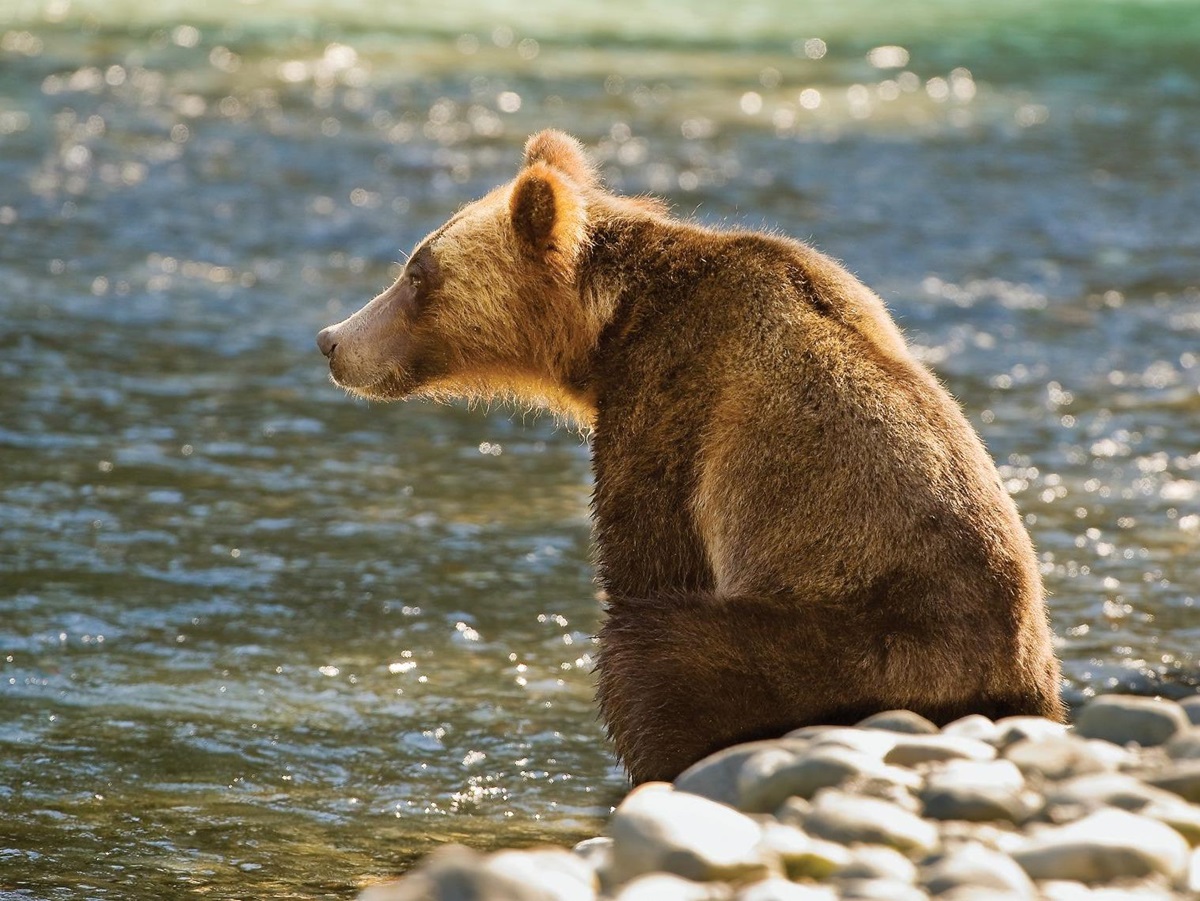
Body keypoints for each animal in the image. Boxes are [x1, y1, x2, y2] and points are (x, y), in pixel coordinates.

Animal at [317, 129, 1065, 784]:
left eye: (418, 272)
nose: (331, 340)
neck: (608, 330)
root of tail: (1006, 686)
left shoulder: (676, 398)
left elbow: (649, 555)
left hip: (850, 643)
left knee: (658, 653)